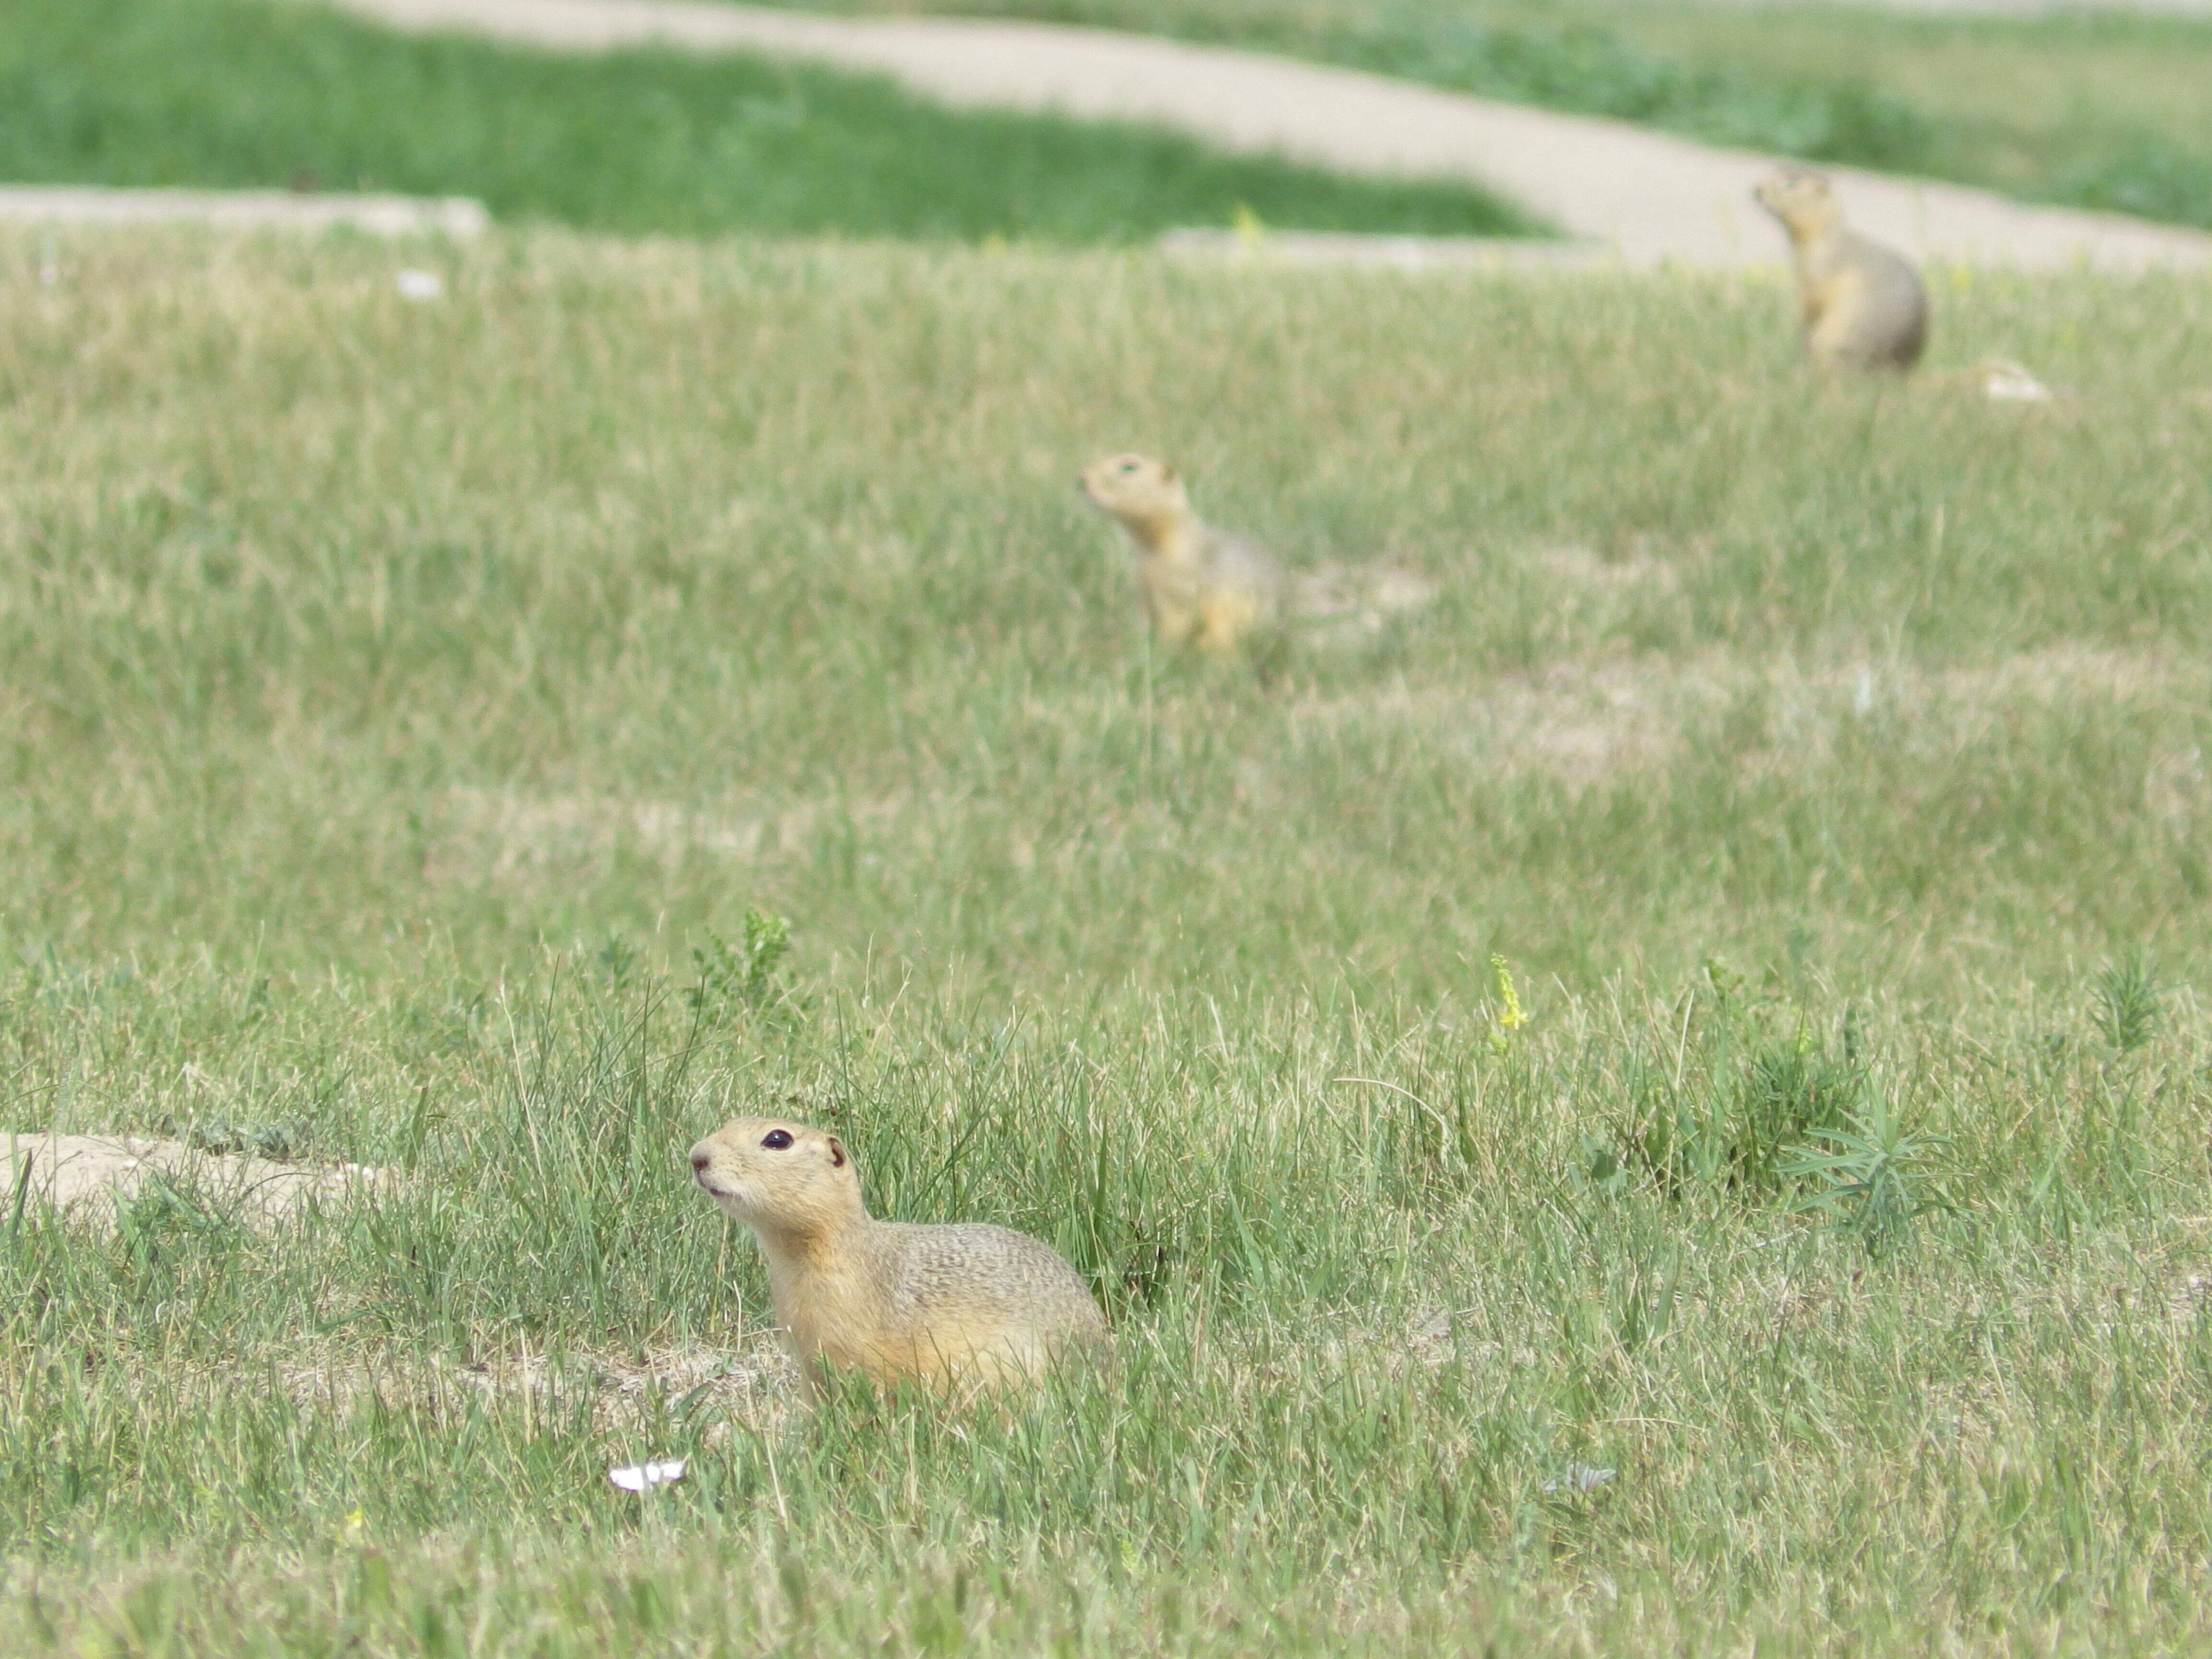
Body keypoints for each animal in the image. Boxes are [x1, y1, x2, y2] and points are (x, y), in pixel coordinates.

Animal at [1078, 453, 1286, 654]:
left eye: (1129, 466)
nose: (1081, 478)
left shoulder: (1180, 584)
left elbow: (1177, 618)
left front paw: (1162, 650)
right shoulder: (1144, 586)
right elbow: (1144, 617)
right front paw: (1137, 642)